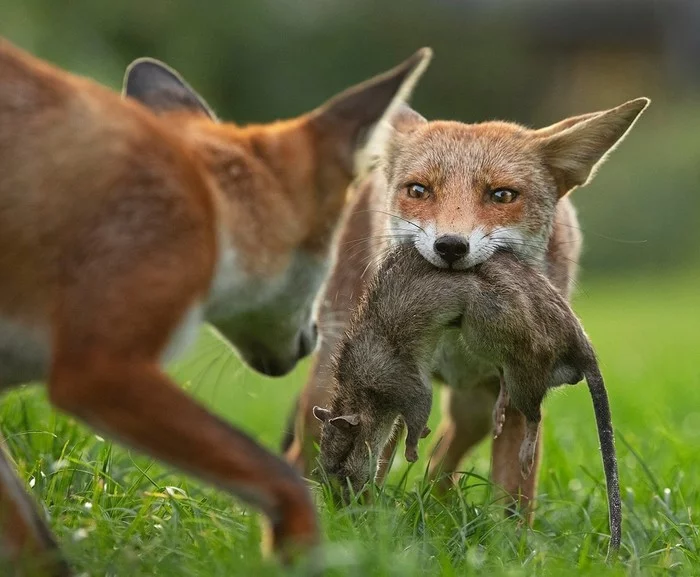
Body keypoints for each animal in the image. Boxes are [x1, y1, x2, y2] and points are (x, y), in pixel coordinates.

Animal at [286, 97, 652, 516]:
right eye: (418, 190)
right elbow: (377, 470)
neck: (455, 337)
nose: (450, 246)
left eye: (503, 195)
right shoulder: (396, 389)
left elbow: (514, 501)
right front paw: (366, 523)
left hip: (475, 409)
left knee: (441, 462)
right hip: (327, 386)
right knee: (304, 453)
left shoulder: (516, 388)